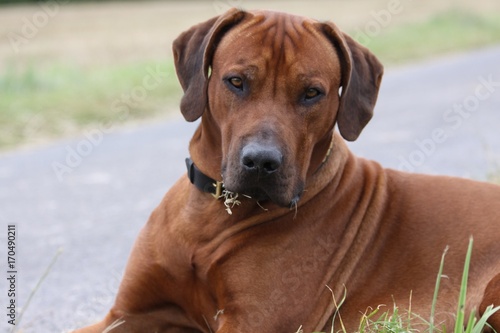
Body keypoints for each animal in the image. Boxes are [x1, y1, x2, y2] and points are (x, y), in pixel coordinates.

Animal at [74, 8, 500, 332]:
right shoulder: (126, 313)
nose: (261, 162)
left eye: (312, 93)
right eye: (236, 81)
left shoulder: (253, 323)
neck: (213, 214)